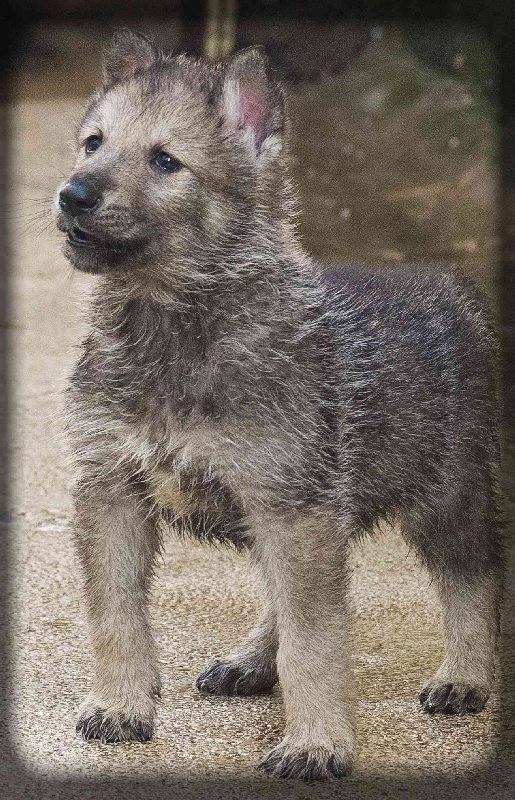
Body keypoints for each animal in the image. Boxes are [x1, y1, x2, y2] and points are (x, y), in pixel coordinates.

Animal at [55, 29, 504, 781]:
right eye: (93, 143)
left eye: (166, 161)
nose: (72, 194)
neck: (175, 326)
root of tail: (452, 285)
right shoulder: (113, 493)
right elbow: (116, 617)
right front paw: (121, 705)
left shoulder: (292, 507)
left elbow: (314, 642)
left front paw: (316, 742)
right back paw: (249, 661)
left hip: (445, 497)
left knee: (471, 580)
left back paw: (464, 676)